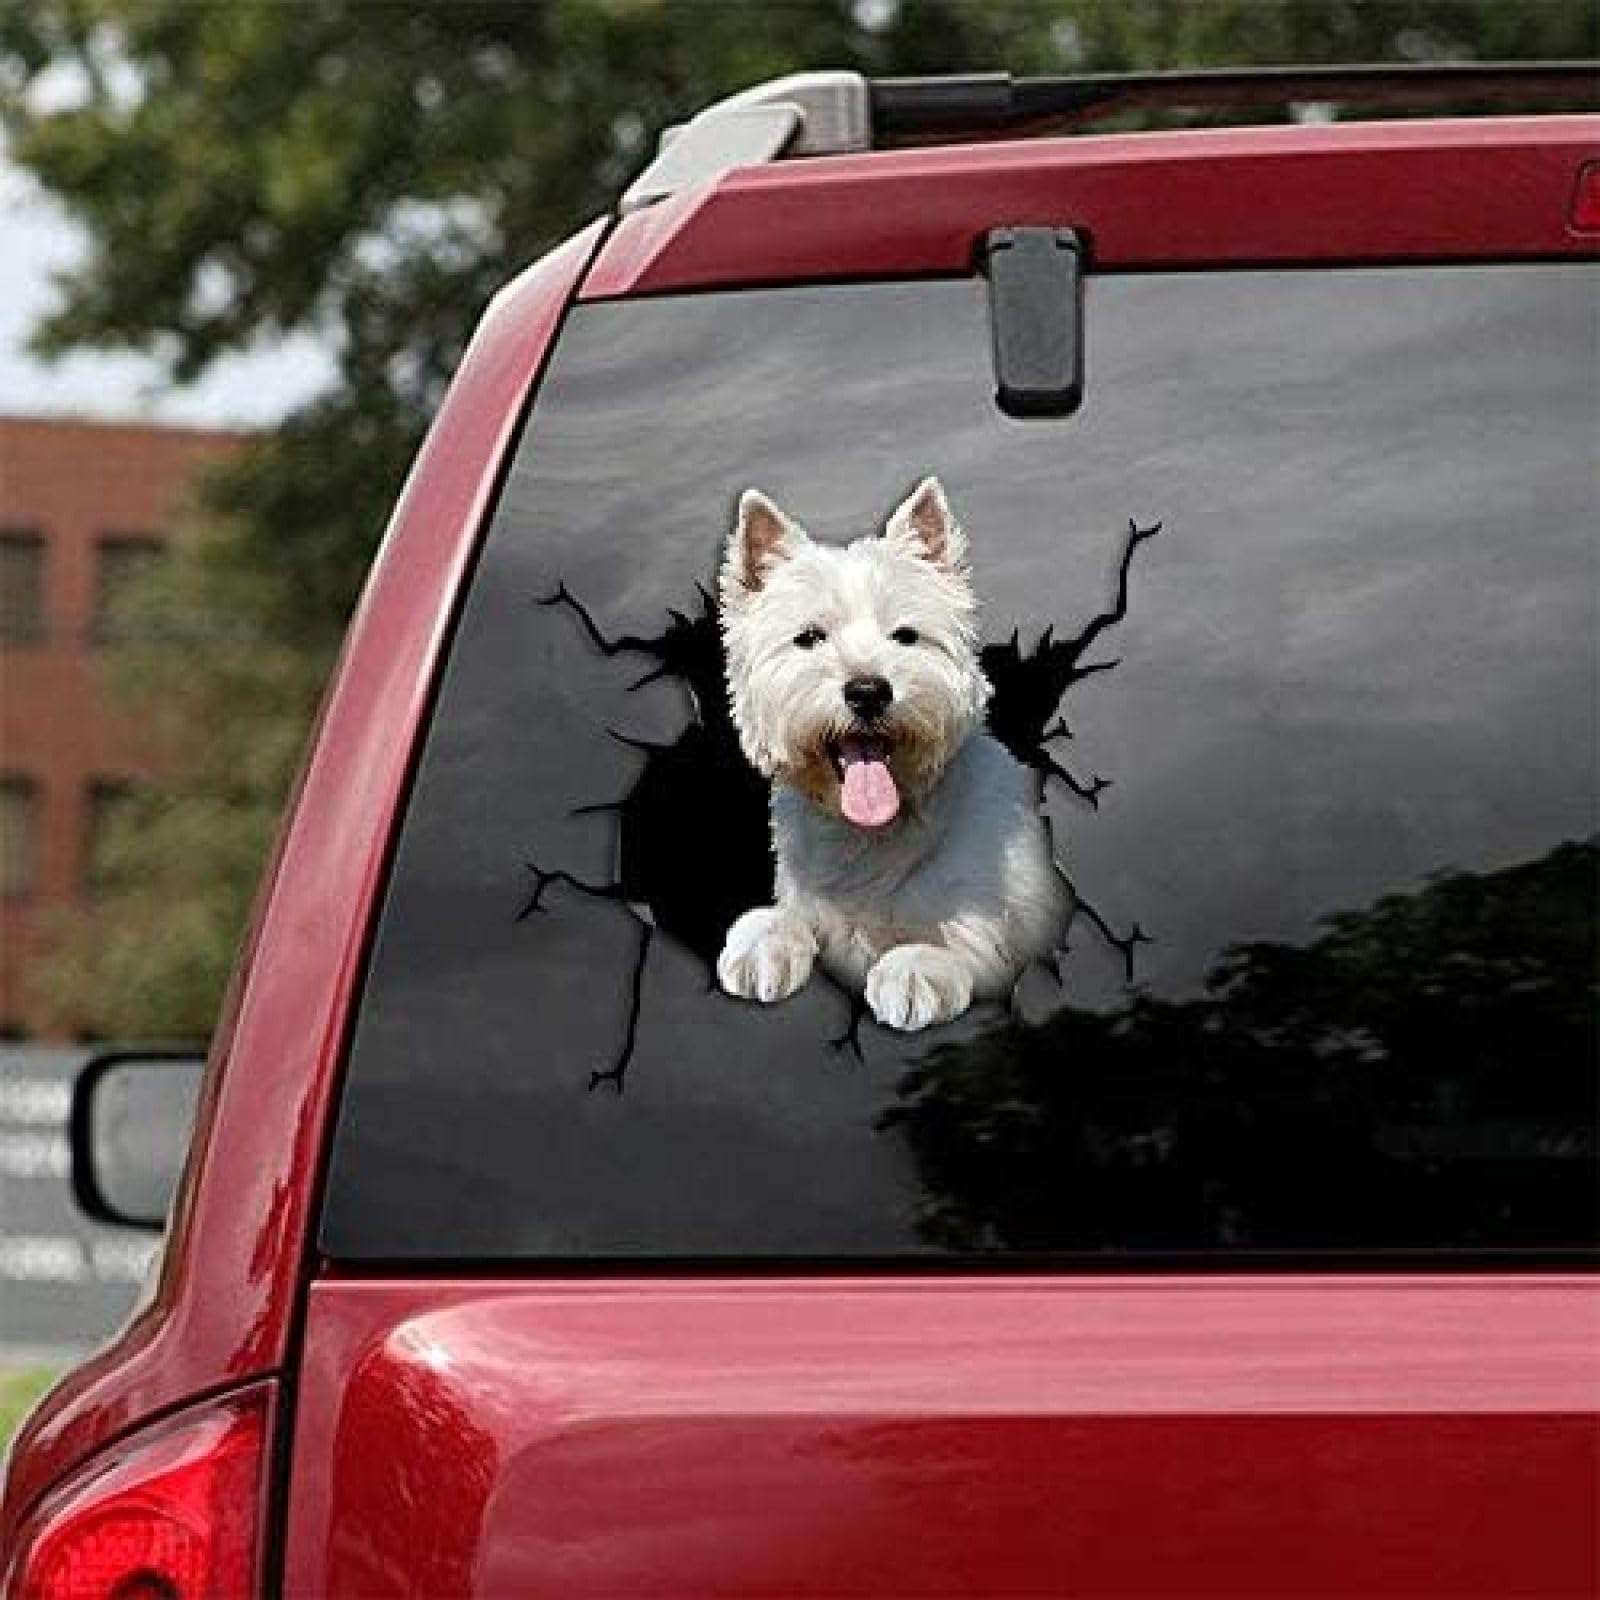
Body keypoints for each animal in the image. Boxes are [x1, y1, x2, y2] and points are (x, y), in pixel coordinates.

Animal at [716, 473, 1068, 1030]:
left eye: (905, 636)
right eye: (809, 637)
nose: (868, 691)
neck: (870, 839)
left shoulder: (1008, 927)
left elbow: (972, 948)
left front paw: (913, 969)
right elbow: (787, 916)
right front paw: (762, 946)